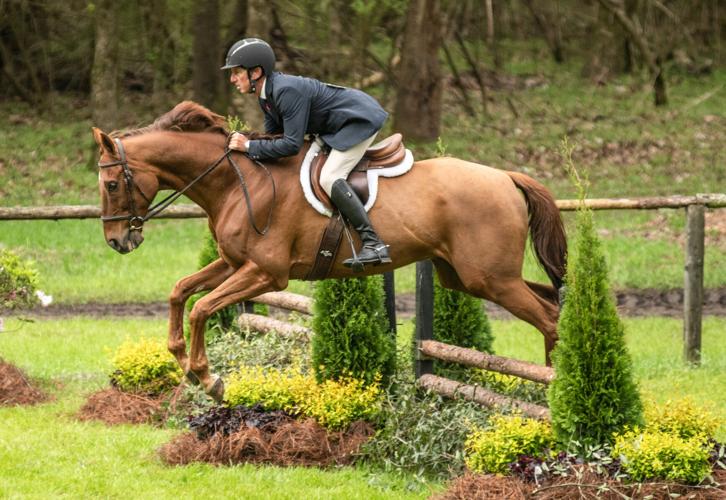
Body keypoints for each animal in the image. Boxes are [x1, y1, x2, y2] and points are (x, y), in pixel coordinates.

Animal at [93, 101, 567, 402]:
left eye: (112, 184)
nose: (118, 241)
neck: (237, 181)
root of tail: (506, 176)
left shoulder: (265, 273)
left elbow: (202, 308)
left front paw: (208, 378)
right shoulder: (234, 263)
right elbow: (181, 291)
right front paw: (181, 358)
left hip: (490, 278)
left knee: (549, 318)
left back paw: (556, 387)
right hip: (467, 276)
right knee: (552, 303)